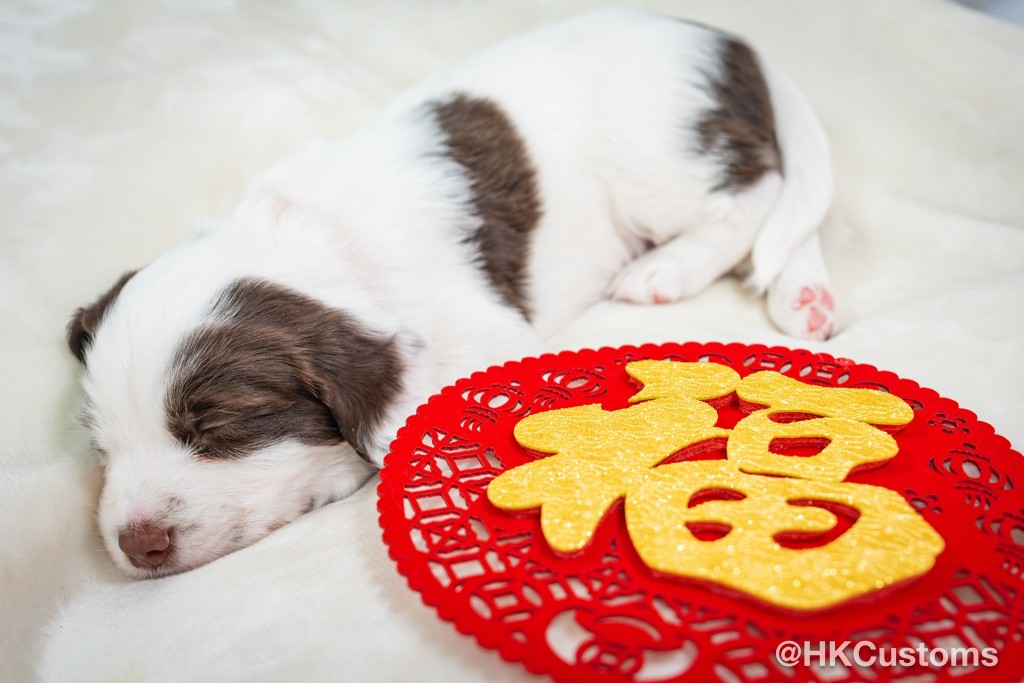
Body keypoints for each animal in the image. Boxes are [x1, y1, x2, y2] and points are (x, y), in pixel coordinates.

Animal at [72, 9, 835, 577]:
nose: (136, 546)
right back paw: (806, 298)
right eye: (103, 448)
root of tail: (727, 39)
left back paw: (666, 270)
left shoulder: (479, 339)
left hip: (657, 157)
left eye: (217, 432)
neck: (310, 244)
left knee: (758, 193)